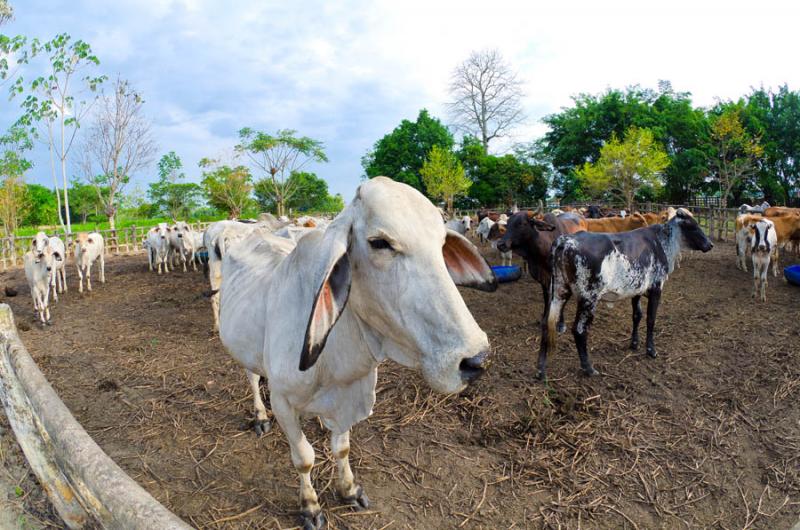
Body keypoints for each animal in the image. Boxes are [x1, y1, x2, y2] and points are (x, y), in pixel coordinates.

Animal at [219, 177, 494, 528]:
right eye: (380, 243)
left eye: (442, 242)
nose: (475, 359)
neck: (334, 361)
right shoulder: (283, 403)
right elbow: (304, 458)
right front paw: (310, 507)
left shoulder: (349, 396)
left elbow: (342, 448)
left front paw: (348, 490)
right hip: (243, 351)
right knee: (253, 379)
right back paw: (259, 416)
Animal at [544, 206, 712, 376]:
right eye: (692, 226)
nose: (710, 244)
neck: (662, 243)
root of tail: (565, 240)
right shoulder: (656, 288)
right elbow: (651, 319)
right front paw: (651, 350)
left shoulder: (636, 289)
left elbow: (637, 316)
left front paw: (634, 343)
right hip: (588, 298)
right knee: (579, 330)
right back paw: (588, 368)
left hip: (558, 290)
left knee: (547, 322)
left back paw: (541, 369)